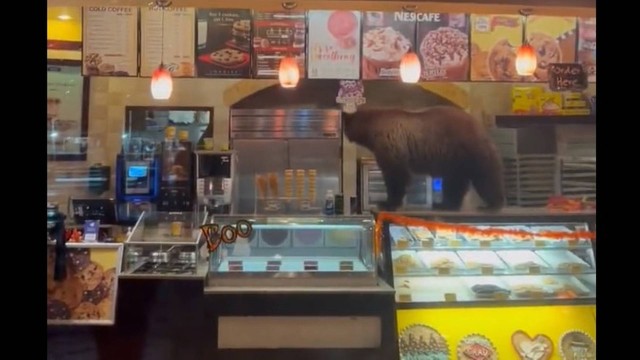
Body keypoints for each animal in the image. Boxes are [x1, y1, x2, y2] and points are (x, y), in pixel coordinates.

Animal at [344, 105, 504, 211]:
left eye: (346, 127)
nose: (345, 134)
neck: (372, 128)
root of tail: (480, 126)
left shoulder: (391, 142)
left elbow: (396, 174)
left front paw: (387, 203)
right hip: (455, 160)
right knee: (455, 182)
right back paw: (445, 204)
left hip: (467, 149)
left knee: (485, 176)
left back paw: (492, 203)